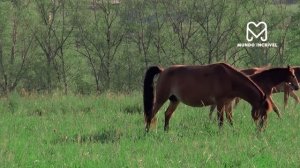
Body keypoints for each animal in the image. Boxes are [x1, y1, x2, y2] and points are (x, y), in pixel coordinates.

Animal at [143, 62, 272, 132]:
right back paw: (147, 133)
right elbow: (221, 120)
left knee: (167, 114)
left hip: (175, 100)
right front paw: (221, 133)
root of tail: (163, 71)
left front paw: (233, 131)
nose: (262, 130)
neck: (229, 79)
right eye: (263, 112)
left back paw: (166, 131)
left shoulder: (228, 103)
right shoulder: (220, 103)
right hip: (161, 98)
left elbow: (230, 119)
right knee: (151, 114)